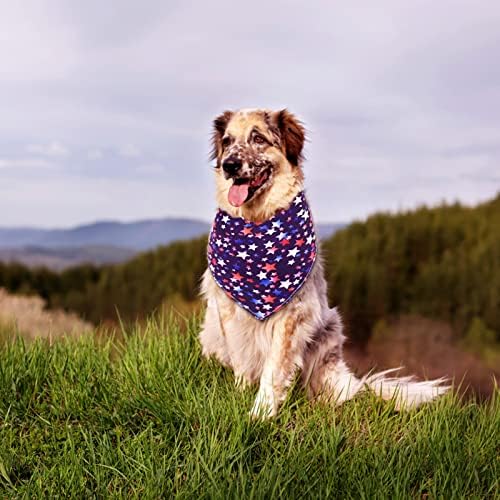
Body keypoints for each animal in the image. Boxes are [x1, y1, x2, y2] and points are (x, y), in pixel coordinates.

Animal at [197, 108, 448, 418]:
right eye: (228, 141)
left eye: (258, 139)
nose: (230, 165)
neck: (256, 222)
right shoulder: (228, 310)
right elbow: (242, 358)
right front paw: (242, 396)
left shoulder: (292, 316)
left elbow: (274, 369)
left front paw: (261, 414)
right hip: (210, 333)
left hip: (328, 332)